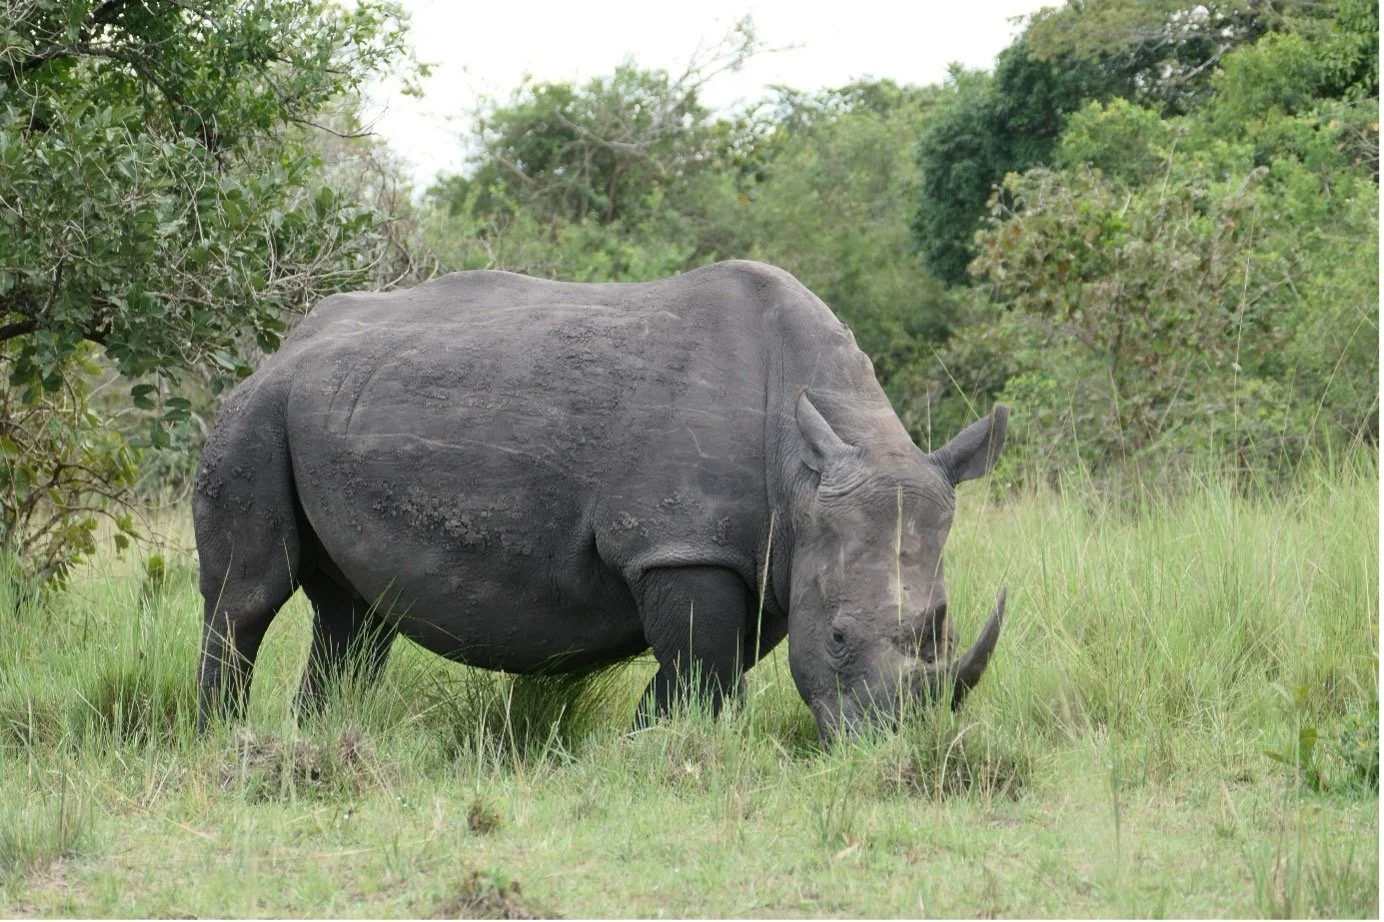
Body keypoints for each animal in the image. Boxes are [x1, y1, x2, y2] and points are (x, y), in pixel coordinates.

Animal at [193, 260, 1008, 741]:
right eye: (838, 636)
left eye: (944, 625)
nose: (895, 746)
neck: (806, 465)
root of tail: (284, 345)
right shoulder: (682, 545)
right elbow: (703, 669)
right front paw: (667, 749)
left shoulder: (764, 559)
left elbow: (707, 669)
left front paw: (641, 740)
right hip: (257, 412)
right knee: (248, 595)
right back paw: (221, 739)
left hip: (337, 403)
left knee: (355, 616)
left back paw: (316, 737)